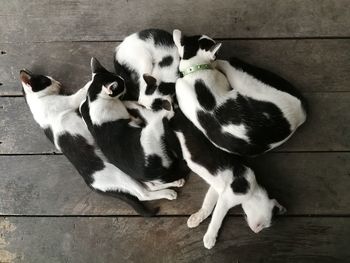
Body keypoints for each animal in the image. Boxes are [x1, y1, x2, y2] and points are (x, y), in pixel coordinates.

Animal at [21, 69, 180, 218]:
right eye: (46, 81)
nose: (58, 83)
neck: (38, 102)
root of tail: (92, 184)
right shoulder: (69, 101)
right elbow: (81, 92)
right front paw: (90, 83)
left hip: (128, 176)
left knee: (150, 186)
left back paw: (175, 183)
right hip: (121, 176)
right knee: (144, 194)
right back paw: (169, 193)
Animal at [80, 58, 189, 194]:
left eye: (122, 81)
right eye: (121, 85)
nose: (126, 83)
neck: (95, 100)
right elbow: (135, 108)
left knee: (153, 185)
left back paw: (175, 182)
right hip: (152, 129)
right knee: (164, 115)